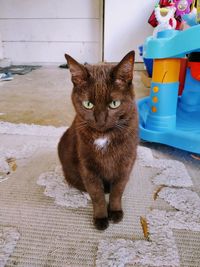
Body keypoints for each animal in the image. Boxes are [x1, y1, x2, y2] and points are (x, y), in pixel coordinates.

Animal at [58, 51, 138, 231]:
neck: (104, 136)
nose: (100, 121)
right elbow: (96, 194)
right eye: (88, 104)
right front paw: (101, 218)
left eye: (114, 104)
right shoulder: (88, 168)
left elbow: (118, 191)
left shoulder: (126, 164)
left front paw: (115, 211)